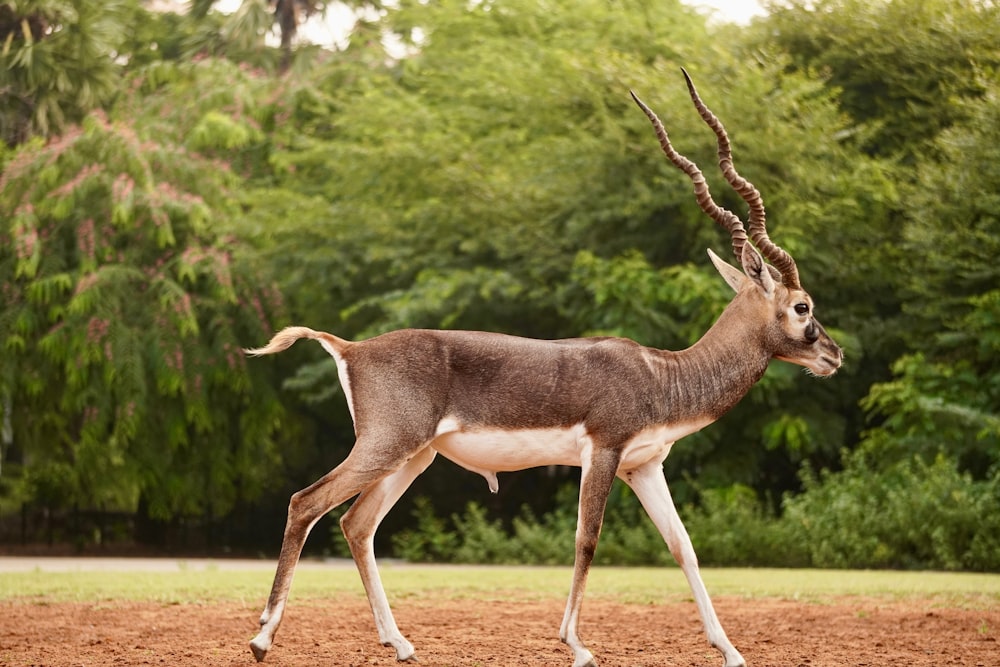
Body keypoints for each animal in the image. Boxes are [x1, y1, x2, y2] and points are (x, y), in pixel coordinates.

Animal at [246, 72, 840, 667]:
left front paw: (731, 651)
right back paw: (262, 637)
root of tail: (349, 348)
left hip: (413, 456)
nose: (833, 356)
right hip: (387, 445)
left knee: (356, 523)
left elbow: (683, 546)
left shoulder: (644, 466)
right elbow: (587, 538)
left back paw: (400, 643)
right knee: (307, 503)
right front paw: (577, 645)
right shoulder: (603, 451)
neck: (662, 374)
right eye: (802, 306)